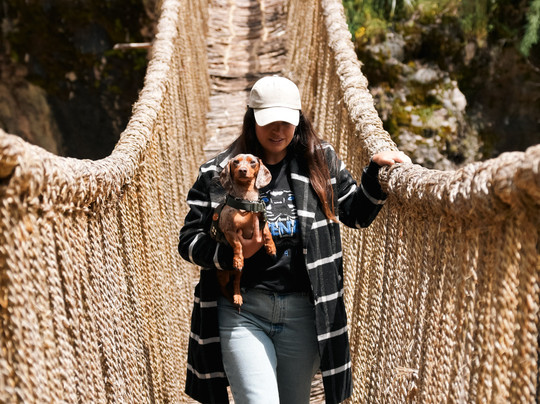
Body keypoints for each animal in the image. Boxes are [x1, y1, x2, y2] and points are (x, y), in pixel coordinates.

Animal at [213, 154, 277, 306]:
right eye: (236, 162)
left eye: (252, 162)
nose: (242, 170)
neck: (246, 202)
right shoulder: (229, 231)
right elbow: (238, 245)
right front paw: (238, 260)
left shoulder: (262, 220)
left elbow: (267, 233)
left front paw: (271, 247)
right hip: (222, 273)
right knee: (223, 288)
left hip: (239, 274)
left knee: (236, 283)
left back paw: (237, 296)